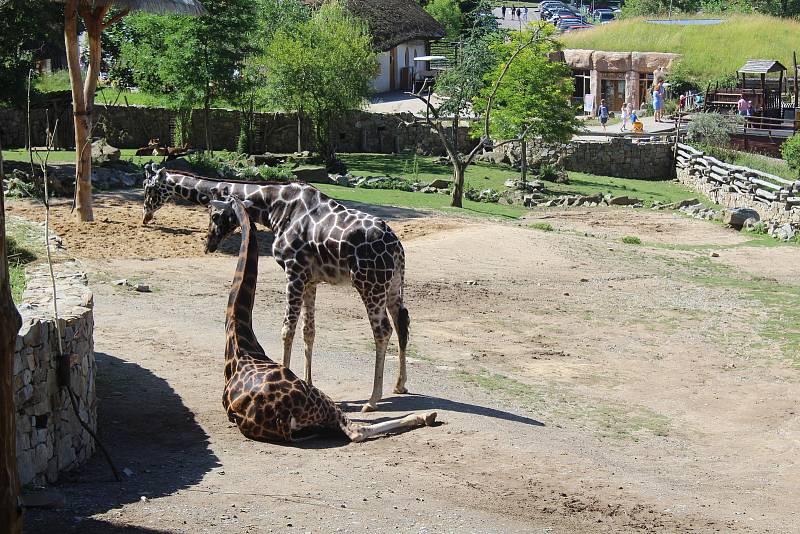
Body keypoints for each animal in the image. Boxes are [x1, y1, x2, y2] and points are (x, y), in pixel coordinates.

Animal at [216, 197, 438, 444]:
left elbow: (292, 329)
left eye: (216, 214)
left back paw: (380, 398)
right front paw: (307, 376)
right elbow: (305, 330)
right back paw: (401, 396)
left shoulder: (297, 274)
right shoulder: (308, 279)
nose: (209, 242)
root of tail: (398, 246)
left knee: (388, 328)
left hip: (374, 286)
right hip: (388, 286)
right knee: (398, 325)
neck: (238, 329)